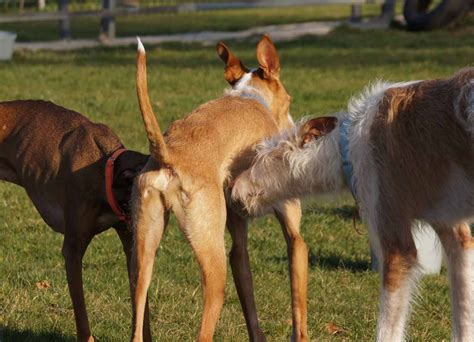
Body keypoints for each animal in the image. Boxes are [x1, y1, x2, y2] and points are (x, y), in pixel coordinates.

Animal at [129, 36, 308, 340]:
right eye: (289, 100)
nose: (293, 129)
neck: (249, 98)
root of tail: (169, 155)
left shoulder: (238, 248)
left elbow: (250, 305)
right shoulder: (295, 238)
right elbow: (299, 311)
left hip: (143, 258)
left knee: (138, 323)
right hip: (214, 265)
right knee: (204, 332)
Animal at [231, 68, 474, 340]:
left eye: (257, 156)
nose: (230, 189)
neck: (348, 142)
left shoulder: (398, 246)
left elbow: (387, 330)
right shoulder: (455, 233)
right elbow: (464, 315)